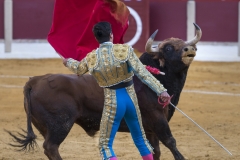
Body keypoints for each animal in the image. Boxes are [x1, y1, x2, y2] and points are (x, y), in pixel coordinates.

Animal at [6, 23, 202, 159]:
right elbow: (171, 142)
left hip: (45, 126)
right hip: (60, 124)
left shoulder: (150, 129)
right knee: (51, 147)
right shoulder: (157, 120)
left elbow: (156, 151)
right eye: (168, 48)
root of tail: (34, 81)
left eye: (182, 43)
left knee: (48, 149)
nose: (189, 49)